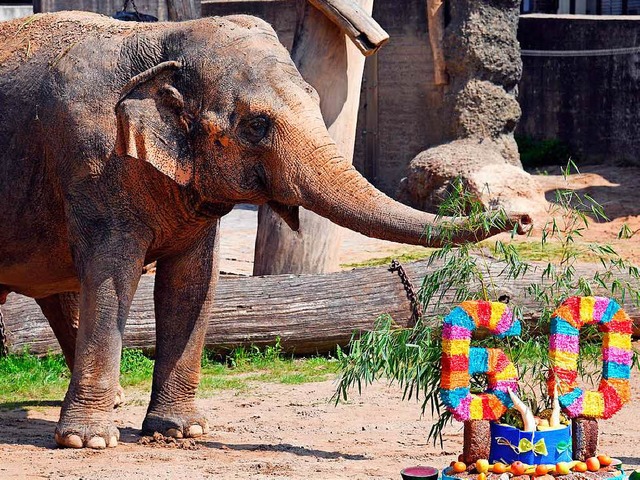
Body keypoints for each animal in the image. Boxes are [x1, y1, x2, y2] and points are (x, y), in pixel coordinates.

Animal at [0, 13, 528, 452]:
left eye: (315, 100)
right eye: (257, 124)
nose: (522, 218)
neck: (160, 39)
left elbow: (192, 283)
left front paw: (183, 431)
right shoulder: (91, 163)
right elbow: (112, 279)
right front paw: (89, 442)